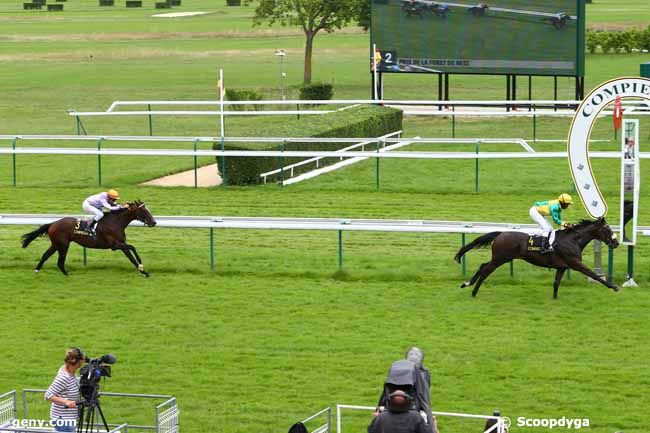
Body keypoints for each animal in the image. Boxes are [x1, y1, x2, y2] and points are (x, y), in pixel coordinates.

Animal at [21, 200, 156, 276]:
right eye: (144, 210)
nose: (154, 222)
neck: (115, 223)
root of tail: (53, 223)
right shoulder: (115, 245)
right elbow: (133, 247)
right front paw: (141, 266)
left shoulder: (121, 244)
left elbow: (131, 257)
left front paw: (144, 272)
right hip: (63, 244)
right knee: (60, 261)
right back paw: (66, 274)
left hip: (56, 244)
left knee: (45, 255)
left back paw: (37, 270)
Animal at [454, 219, 620, 296]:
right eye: (607, 229)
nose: (616, 242)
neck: (573, 240)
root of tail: (501, 233)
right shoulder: (575, 263)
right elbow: (594, 274)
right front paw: (613, 286)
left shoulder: (562, 267)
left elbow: (556, 283)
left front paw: (555, 299)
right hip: (500, 258)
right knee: (486, 270)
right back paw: (474, 292)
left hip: (499, 258)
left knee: (483, 265)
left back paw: (466, 284)